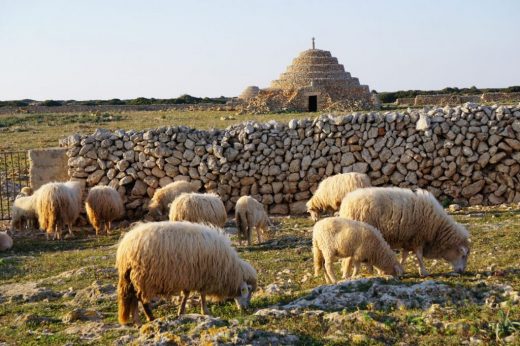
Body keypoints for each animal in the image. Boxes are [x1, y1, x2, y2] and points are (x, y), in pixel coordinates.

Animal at [116, 222, 258, 324]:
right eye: (248, 290)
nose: (247, 309)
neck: (228, 268)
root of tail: (125, 247)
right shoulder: (203, 276)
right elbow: (202, 295)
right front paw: (205, 311)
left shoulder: (189, 277)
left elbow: (186, 294)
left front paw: (181, 311)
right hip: (143, 277)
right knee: (141, 299)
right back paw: (150, 317)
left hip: (133, 277)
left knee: (133, 298)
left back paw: (137, 321)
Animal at [340, 187, 470, 276]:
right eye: (463, 255)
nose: (462, 271)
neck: (437, 228)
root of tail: (346, 203)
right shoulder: (418, 237)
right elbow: (419, 256)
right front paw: (423, 271)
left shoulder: (408, 239)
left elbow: (405, 256)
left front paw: (402, 269)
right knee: (348, 258)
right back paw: (347, 274)